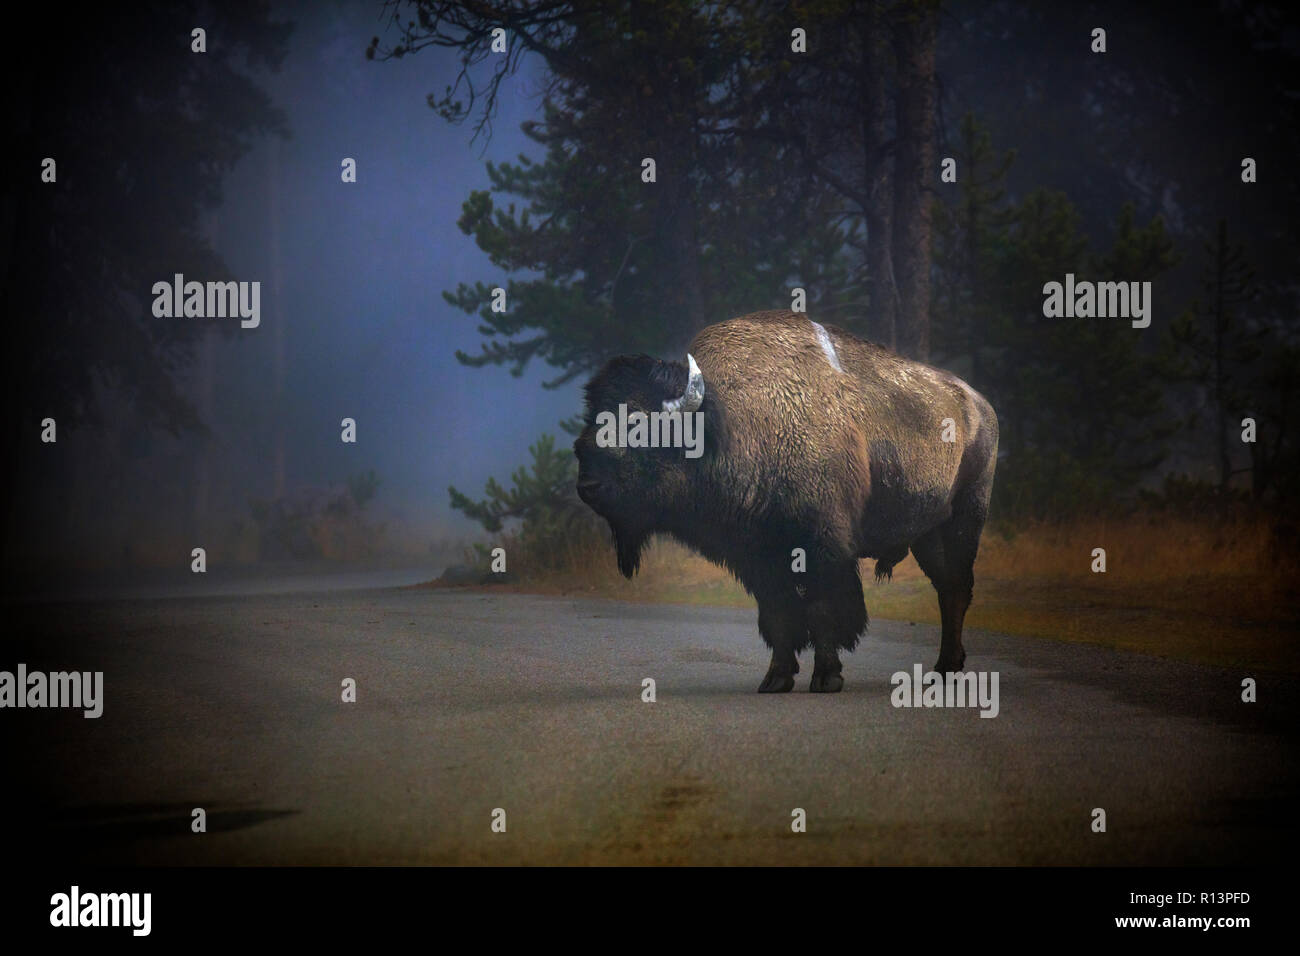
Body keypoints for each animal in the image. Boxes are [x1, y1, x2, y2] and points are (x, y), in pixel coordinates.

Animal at [574, 314, 998, 697]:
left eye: (638, 423)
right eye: (593, 417)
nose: (587, 485)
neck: (732, 423)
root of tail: (978, 405)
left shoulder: (823, 549)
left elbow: (823, 609)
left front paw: (826, 678)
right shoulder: (757, 558)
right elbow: (778, 615)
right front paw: (775, 679)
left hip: (964, 520)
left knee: (956, 589)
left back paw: (944, 670)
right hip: (928, 534)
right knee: (947, 588)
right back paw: (944, 669)